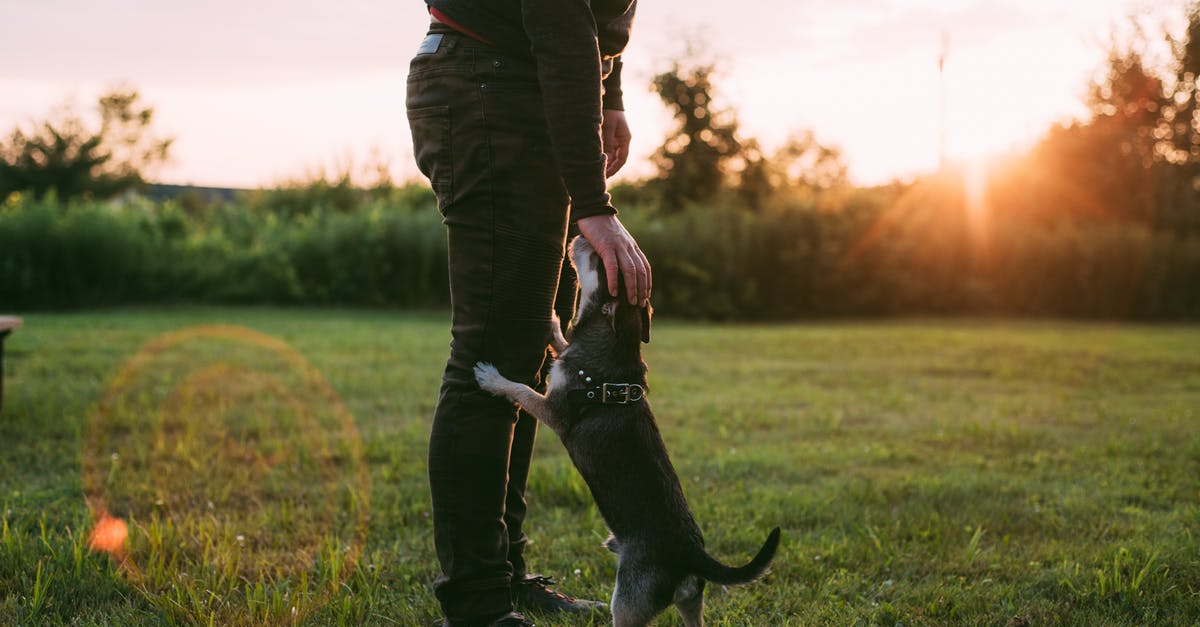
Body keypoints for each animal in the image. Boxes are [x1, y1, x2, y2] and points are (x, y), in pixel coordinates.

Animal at [472, 235, 782, 624]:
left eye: (598, 260)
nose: (578, 235)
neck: (616, 344)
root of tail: (691, 554)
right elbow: (561, 341)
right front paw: (553, 320)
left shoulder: (554, 410)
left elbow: (521, 390)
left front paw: (492, 378)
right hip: (691, 601)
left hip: (628, 603)